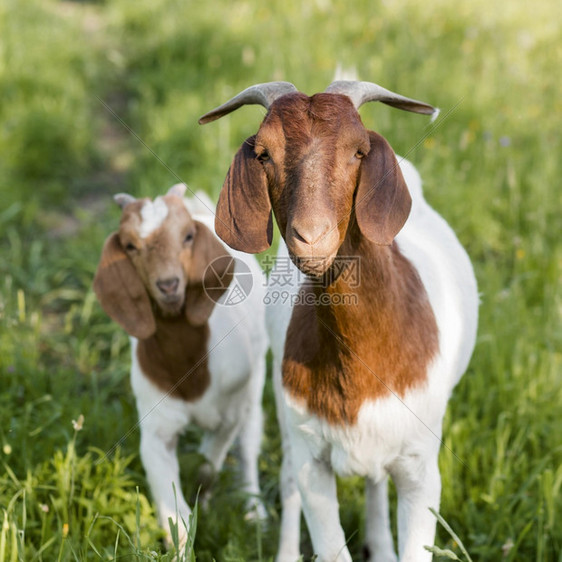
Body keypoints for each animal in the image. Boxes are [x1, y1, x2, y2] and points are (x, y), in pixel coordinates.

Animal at [93, 186, 266, 544]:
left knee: (249, 442)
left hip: (256, 381)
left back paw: (255, 512)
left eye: (187, 236)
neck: (192, 376)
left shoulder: (230, 414)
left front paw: (206, 498)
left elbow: (209, 465)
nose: (169, 285)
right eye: (130, 245)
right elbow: (177, 515)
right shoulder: (156, 428)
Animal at [199, 80, 480, 560]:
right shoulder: (312, 455)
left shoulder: (420, 466)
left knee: (374, 480)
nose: (311, 237)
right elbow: (328, 541)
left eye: (358, 151)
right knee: (289, 480)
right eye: (264, 153)